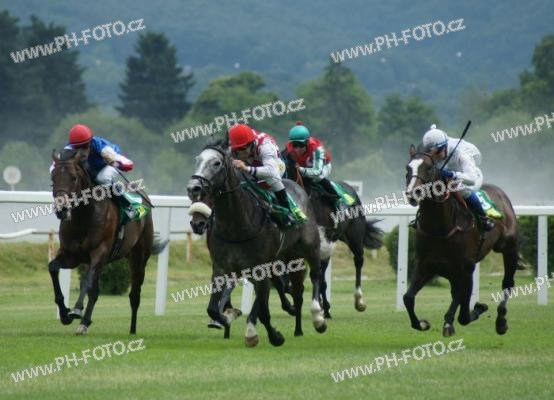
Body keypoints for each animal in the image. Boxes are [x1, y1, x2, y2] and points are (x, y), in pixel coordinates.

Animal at [49, 148, 165, 335]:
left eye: (73, 177)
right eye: (53, 178)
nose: (62, 209)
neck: (84, 217)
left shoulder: (99, 252)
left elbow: (87, 282)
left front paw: (76, 310)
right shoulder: (71, 256)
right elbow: (53, 268)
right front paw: (64, 314)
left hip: (138, 258)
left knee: (134, 295)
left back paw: (132, 329)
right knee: (95, 292)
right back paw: (85, 322)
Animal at [187, 140, 326, 347]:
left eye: (216, 163)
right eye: (198, 160)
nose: (193, 187)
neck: (237, 225)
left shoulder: (260, 269)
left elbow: (264, 311)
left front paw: (273, 336)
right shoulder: (221, 268)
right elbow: (213, 309)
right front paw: (228, 317)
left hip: (310, 247)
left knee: (315, 276)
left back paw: (318, 317)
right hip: (283, 257)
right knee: (289, 287)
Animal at [404, 145, 525, 336]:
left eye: (429, 168)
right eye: (407, 168)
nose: (413, 194)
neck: (440, 228)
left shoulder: (466, 268)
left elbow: (463, 313)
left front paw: (477, 309)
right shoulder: (426, 265)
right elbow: (408, 297)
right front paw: (422, 323)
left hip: (509, 248)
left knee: (507, 283)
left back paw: (501, 321)